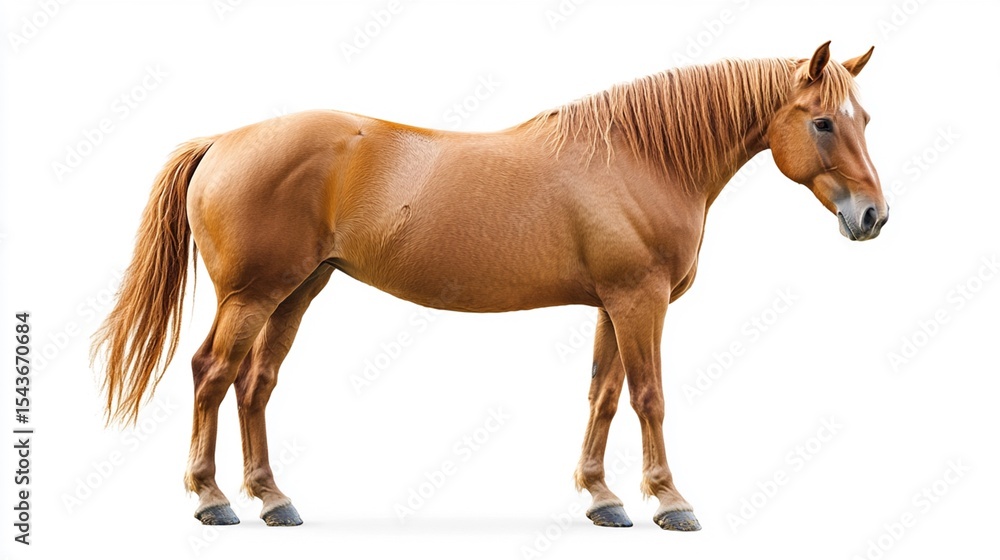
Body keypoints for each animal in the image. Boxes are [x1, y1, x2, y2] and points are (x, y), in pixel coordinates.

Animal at [91, 41, 886, 530]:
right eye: (822, 122)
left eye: (866, 118)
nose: (873, 216)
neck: (640, 159)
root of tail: (223, 141)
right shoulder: (640, 300)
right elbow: (649, 397)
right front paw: (669, 501)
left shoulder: (613, 303)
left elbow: (602, 396)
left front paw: (602, 498)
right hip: (253, 295)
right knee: (212, 373)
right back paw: (211, 499)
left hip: (297, 291)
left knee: (254, 383)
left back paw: (272, 498)